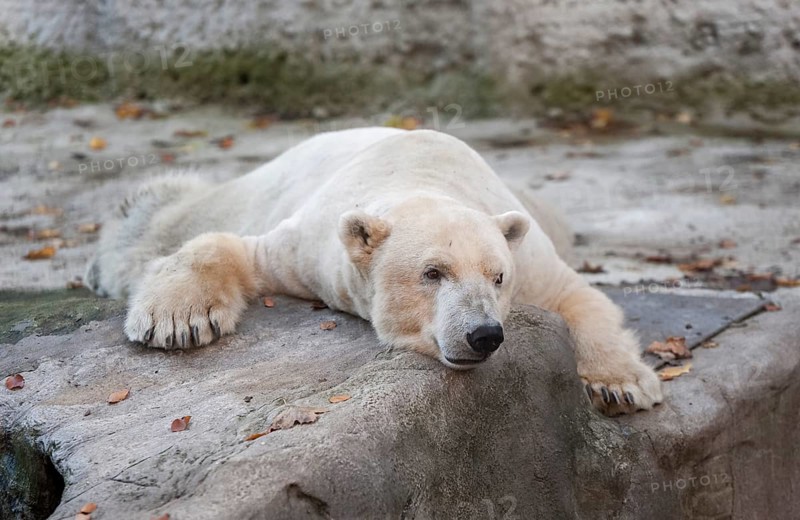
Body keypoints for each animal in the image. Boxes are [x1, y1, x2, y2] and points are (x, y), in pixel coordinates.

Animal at [86, 127, 662, 415]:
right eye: (433, 273)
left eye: (498, 277)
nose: (484, 334)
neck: (423, 173)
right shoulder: (311, 251)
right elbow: (231, 248)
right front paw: (177, 322)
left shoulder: (531, 259)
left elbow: (580, 296)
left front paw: (621, 386)